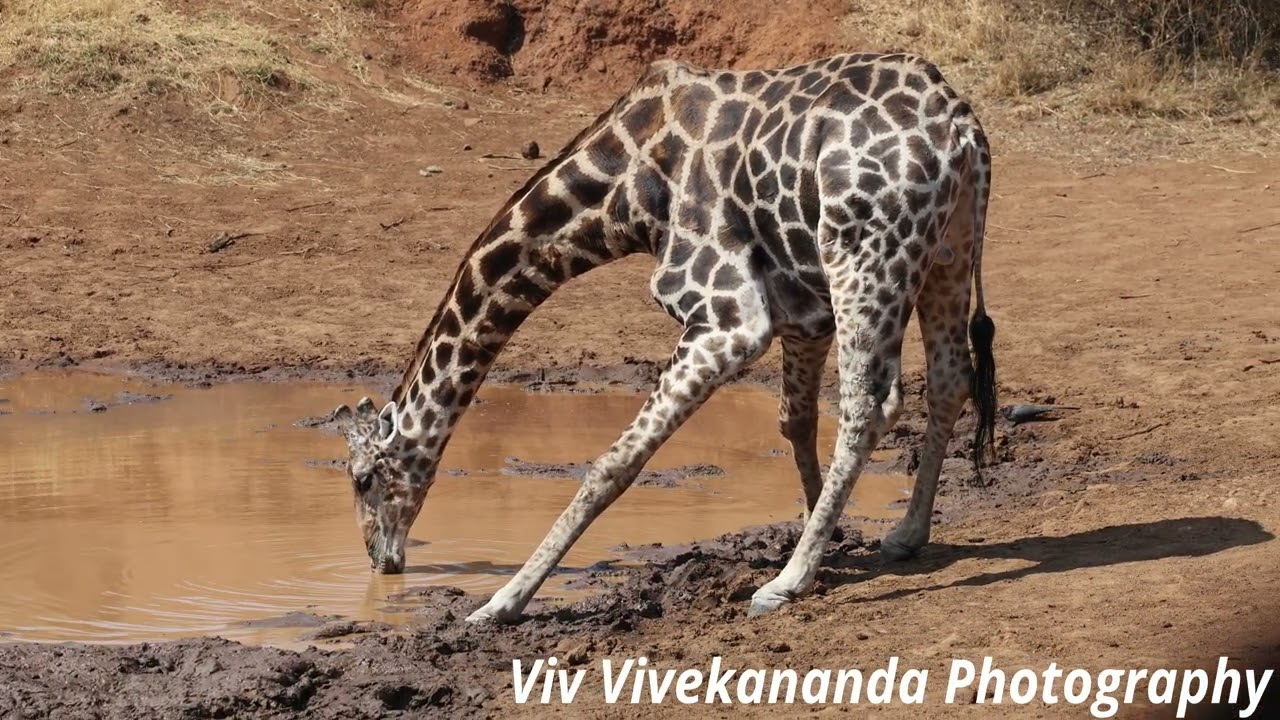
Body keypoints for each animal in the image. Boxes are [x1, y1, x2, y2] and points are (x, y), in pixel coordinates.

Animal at [334, 52, 997, 621]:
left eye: (363, 480)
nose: (381, 562)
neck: (623, 191)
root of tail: (961, 128)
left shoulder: (730, 317)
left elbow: (614, 463)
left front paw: (503, 602)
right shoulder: (802, 308)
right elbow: (795, 420)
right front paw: (829, 537)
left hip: (865, 254)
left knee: (867, 404)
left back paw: (784, 584)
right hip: (945, 251)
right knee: (948, 378)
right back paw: (906, 534)